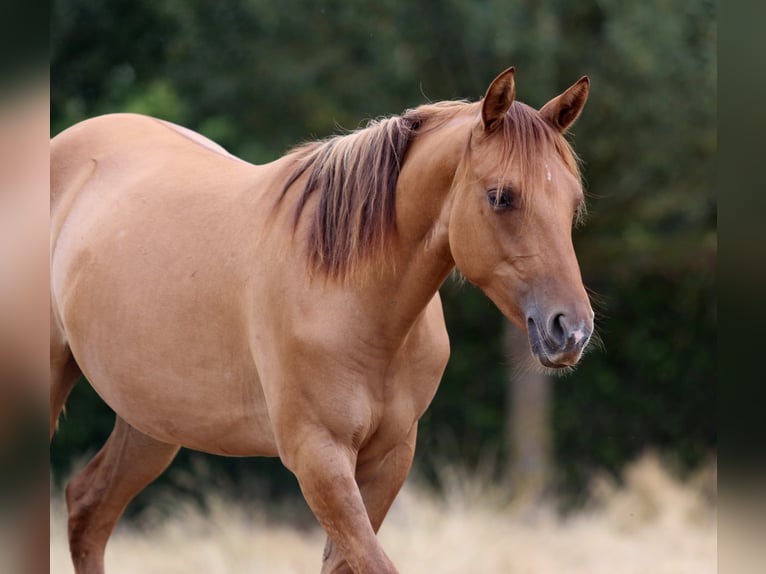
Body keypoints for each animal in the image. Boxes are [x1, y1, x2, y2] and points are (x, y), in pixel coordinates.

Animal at [50, 67, 593, 574]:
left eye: (572, 202)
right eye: (501, 196)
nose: (571, 329)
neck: (350, 297)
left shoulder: (388, 458)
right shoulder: (319, 457)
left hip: (151, 422)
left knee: (88, 507)